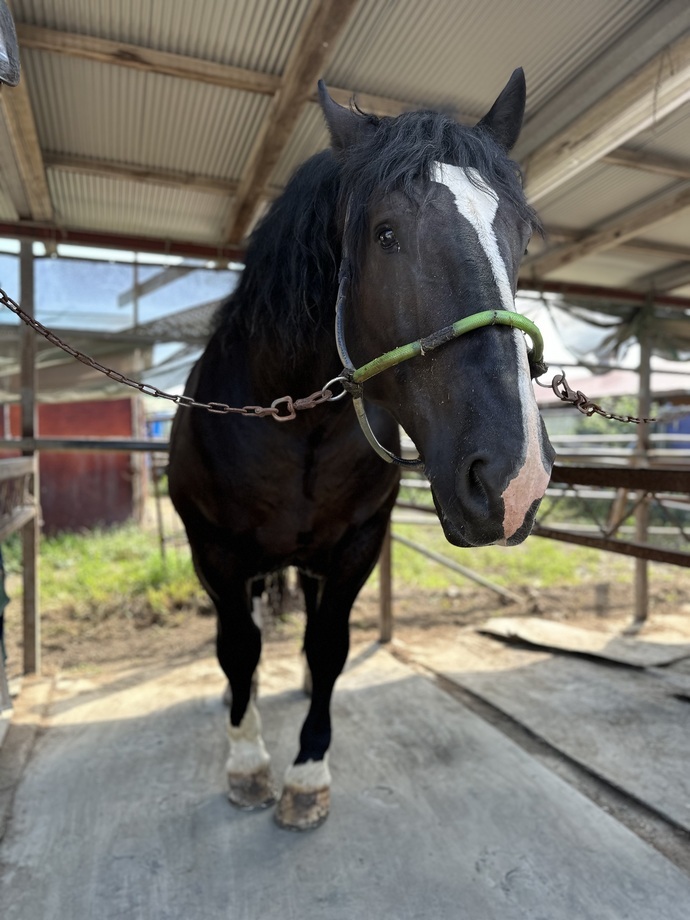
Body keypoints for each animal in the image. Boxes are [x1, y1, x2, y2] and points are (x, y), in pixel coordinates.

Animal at [169, 72, 556, 832]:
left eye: (520, 236)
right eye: (385, 234)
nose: (514, 478)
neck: (293, 424)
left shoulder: (355, 547)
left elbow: (329, 647)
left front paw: (308, 772)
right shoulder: (216, 555)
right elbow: (238, 648)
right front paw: (248, 762)